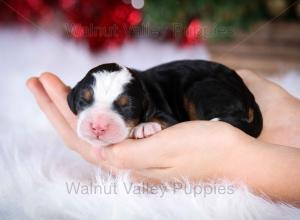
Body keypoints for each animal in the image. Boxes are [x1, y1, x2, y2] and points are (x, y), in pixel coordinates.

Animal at [67, 59, 262, 148]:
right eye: (83, 101)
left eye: (126, 106)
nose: (98, 127)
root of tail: (247, 93)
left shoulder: (165, 112)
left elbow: (162, 119)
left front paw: (145, 127)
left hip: (200, 90)